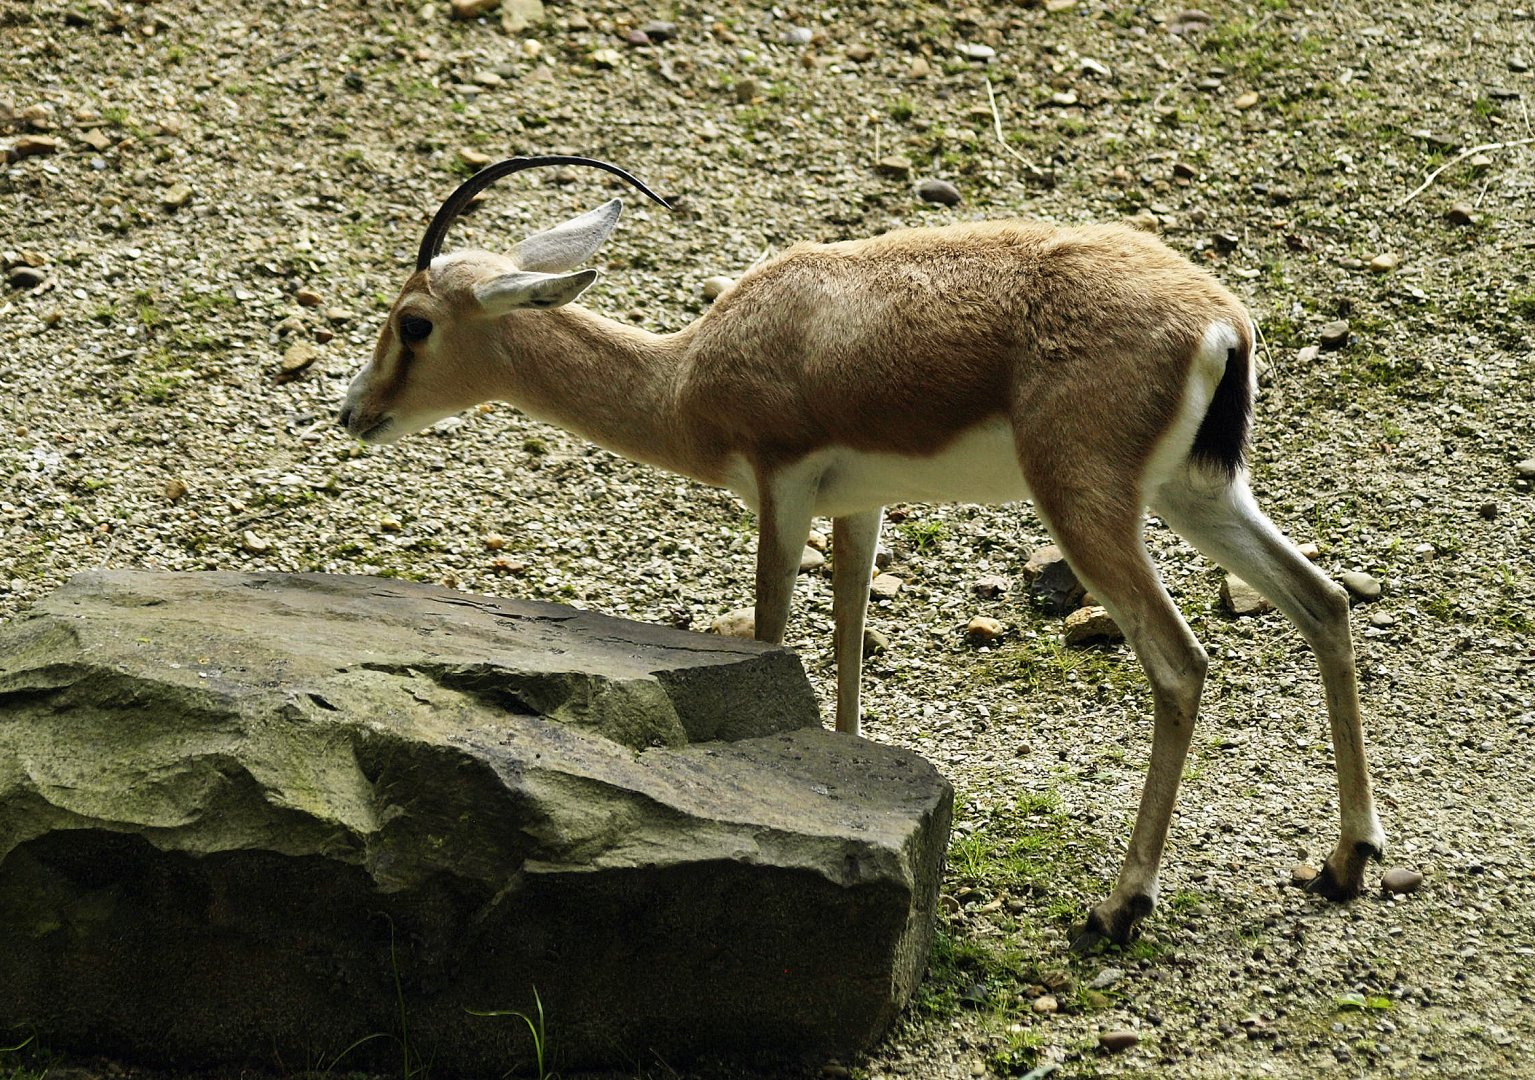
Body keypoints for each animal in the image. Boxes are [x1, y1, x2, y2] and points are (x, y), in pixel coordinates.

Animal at [338, 156, 1384, 948]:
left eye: (414, 322)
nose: (354, 411)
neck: (685, 374)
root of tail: (1219, 319)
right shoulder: (861, 506)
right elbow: (845, 655)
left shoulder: (781, 491)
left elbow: (771, 634)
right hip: (1195, 493)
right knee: (1322, 600)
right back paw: (1345, 863)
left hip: (1087, 507)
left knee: (1180, 663)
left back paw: (1117, 907)